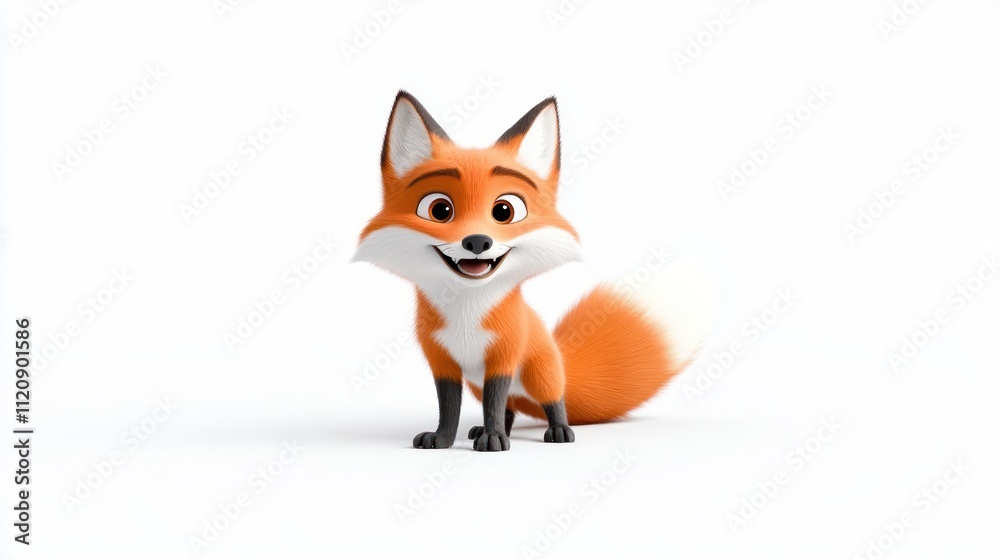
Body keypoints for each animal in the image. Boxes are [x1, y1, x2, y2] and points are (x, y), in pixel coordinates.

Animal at [354, 91, 707, 451]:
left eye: (504, 210)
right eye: (439, 209)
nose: (477, 241)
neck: (465, 313)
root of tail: (558, 353)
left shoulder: (503, 358)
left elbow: (494, 403)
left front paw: (494, 439)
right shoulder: (443, 363)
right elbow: (451, 408)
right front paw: (444, 438)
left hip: (540, 377)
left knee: (552, 402)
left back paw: (557, 431)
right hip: (480, 383)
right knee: (510, 408)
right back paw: (488, 431)